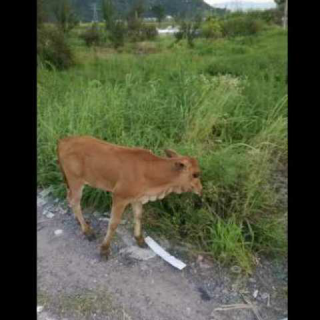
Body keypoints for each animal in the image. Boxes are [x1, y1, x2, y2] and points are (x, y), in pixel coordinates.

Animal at [57, 135, 202, 258]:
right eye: (195, 174)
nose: (201, 189)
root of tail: (64, 141)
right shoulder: (119, 196)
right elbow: (113, 223)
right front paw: (104, 249)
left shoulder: (137, 198)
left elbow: (138, 216)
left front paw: (139, 239)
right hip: (75, 181)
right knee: (74, 201)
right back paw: (87, 231)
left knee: (69, 198)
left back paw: (80, 222)